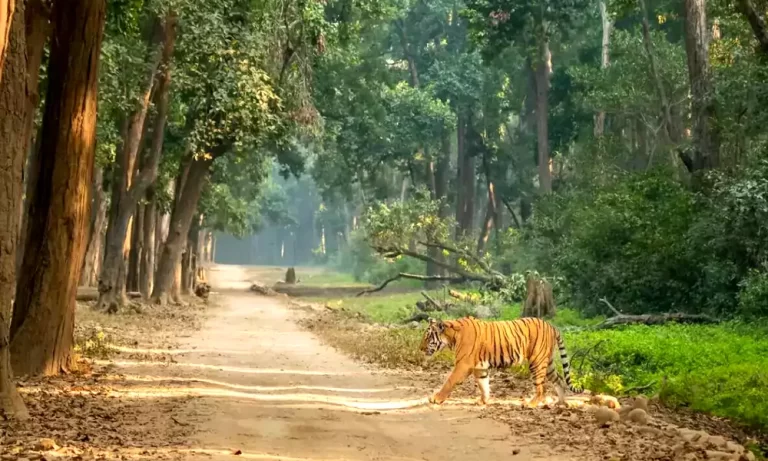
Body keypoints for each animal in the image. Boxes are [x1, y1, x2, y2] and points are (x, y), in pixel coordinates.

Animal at [424, 316, 580, 406]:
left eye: (427, 337)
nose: (420, 349)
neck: (452, 337)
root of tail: (552, 326)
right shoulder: (480, 367)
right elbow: (483, 384)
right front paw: (483, 401)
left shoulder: (463, 365)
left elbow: (449, 381)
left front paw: (436, 398)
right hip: (548, 363)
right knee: (559, 380)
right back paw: (560, 403)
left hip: (537, 361)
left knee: (542, 388)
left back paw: (531, 404)